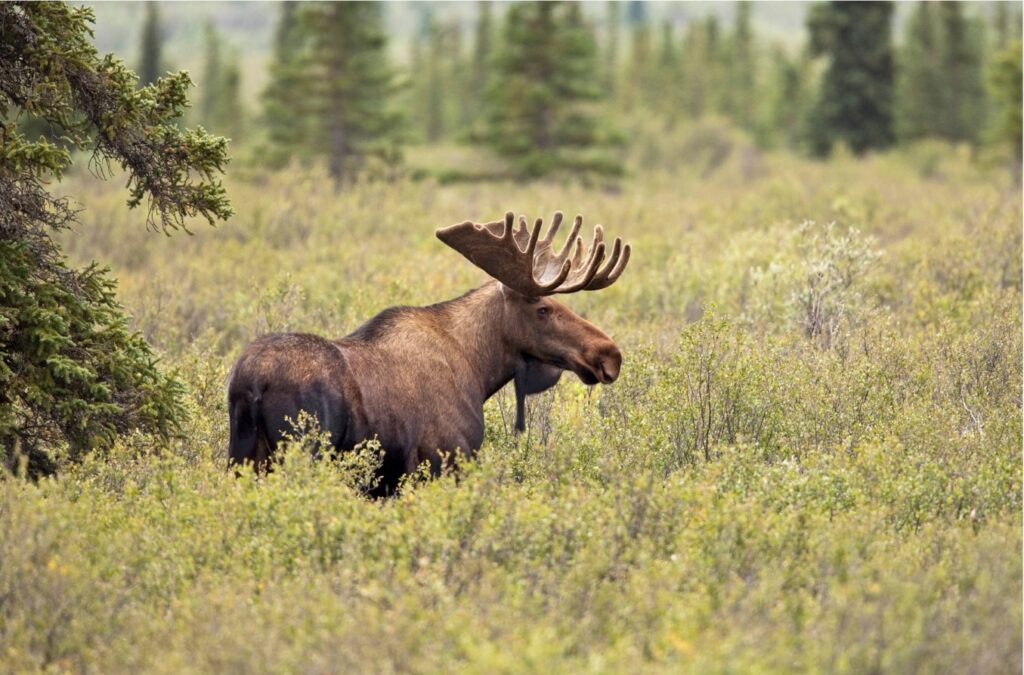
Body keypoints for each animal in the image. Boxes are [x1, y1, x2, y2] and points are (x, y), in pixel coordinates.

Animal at [230, 213, 630, 495]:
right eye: (544, 309)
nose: (609, 354)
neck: (479, 369)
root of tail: (250, 383)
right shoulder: (444, 460)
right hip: (302, 453)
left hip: (242, 456)